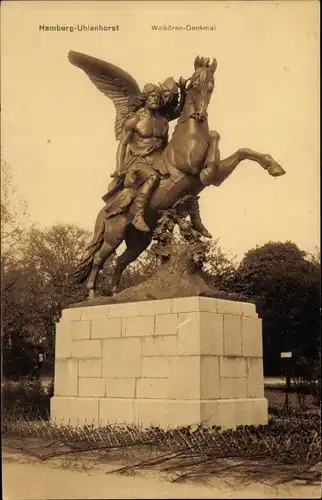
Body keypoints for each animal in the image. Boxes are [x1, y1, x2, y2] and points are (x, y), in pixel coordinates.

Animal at [70, 54, 284, 296]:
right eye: (193, 85)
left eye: (211, 86)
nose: (199, 115)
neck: (191, 134)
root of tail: (105, 210)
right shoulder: (200, 172)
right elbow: (214, 143)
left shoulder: (216, 177)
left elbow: (242, 151)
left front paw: (274, 166)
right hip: (114, 235)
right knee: (99, 258)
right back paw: (92, 294)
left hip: (138, 240)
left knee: (121, 261)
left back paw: (115, 293)